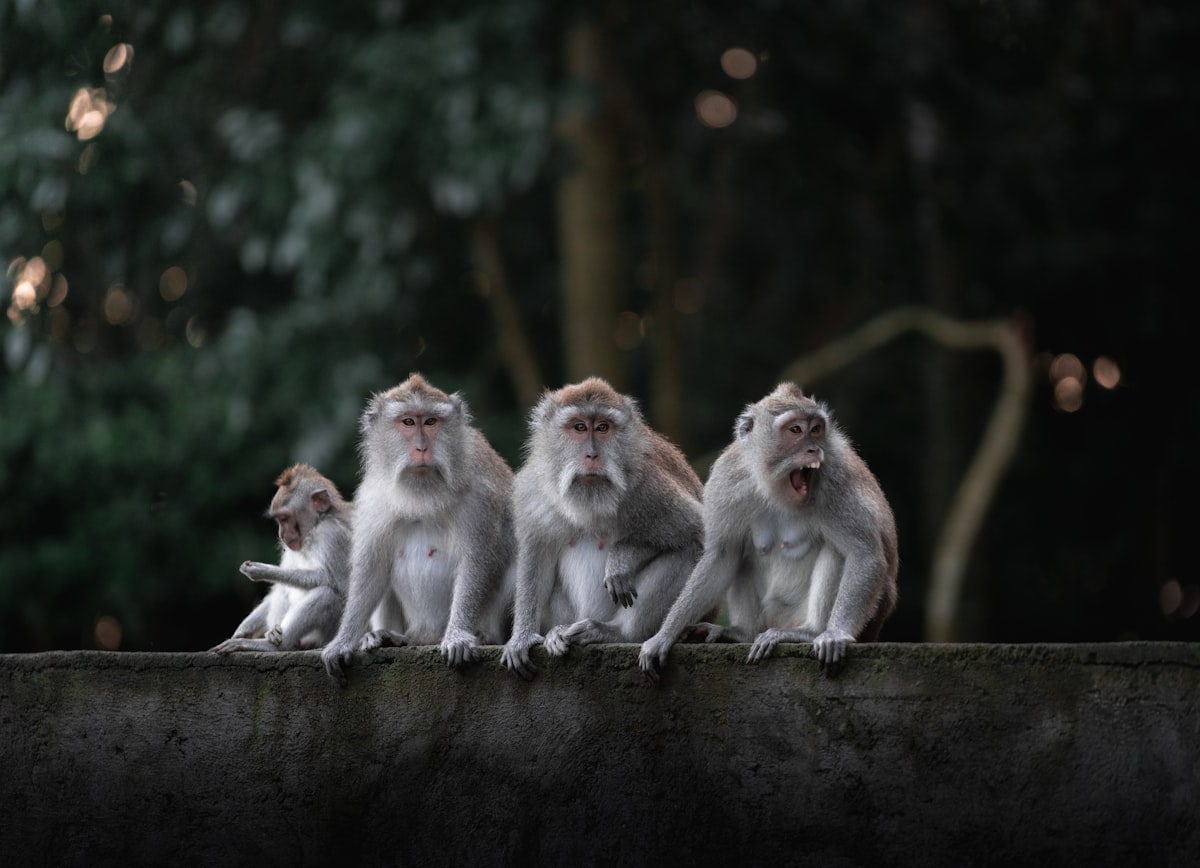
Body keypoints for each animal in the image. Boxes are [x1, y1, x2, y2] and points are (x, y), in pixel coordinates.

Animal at [211, 464, 352, 653]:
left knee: (326, 595)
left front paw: (263, 570)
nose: (281, 534)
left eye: (284, 518)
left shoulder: (332, 535)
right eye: (278, 519)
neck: (314, 530)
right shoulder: (291, 549)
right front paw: (241, 632)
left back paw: (273, 646)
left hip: (327, 635)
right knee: (284, 589)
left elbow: (340, 586)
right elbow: (280, 587)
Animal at [320, 373, 516, 686]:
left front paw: (458, 635)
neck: (423, 495)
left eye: (431, 421)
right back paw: (387, 636)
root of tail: (425, 635)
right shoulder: (374, 496)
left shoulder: (479, 496)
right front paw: (343, 641)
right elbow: (372, 568)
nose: (422, 448)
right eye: (409, 422)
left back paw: (485, 635)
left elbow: (477, 561)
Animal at [500, 377, 705, 680]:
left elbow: (701, 533)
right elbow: (536, 556)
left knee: (687, 550)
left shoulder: (650, 489)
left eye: (603, 428)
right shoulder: (534, 490)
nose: (592, 455)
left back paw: (617, 633)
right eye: (579, 427)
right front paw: (522, 638)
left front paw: (621, 560)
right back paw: (557, 633)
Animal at [638, 382, 898, 681]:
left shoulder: (835, 478)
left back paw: (810, 633)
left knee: (837, 551)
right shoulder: (728, 477)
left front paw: (836, 633)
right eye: (795, 430)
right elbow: (722, 555)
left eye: (816, 429)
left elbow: (863, 553)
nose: (814, 449)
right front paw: (665, 635)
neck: (775, 487)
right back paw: (741, 633)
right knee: (740, 554)